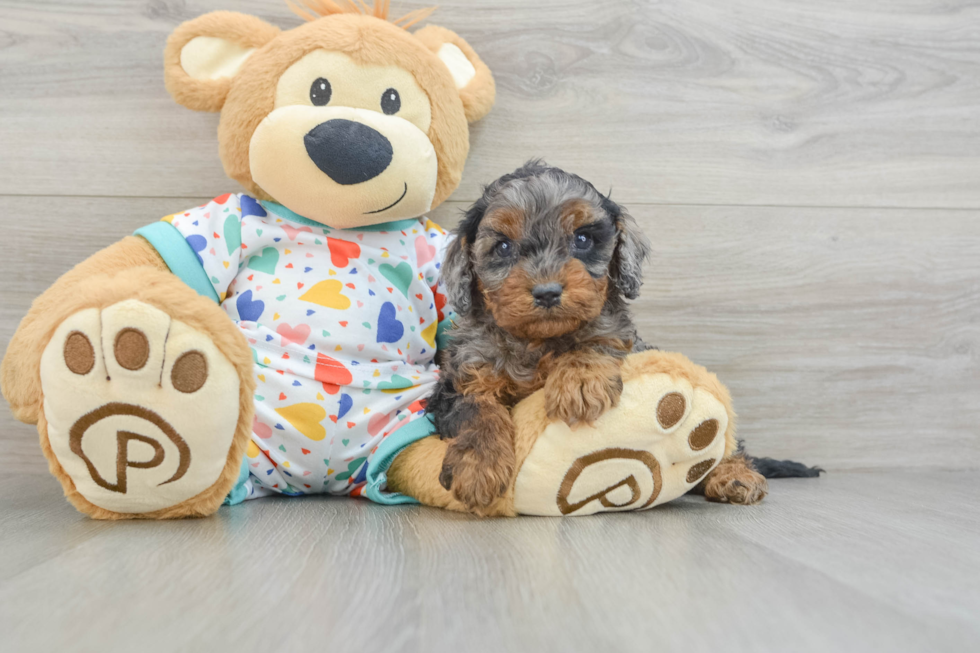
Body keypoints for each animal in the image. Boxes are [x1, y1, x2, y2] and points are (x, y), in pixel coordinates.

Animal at [432, 160, 784, 512]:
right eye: (503, 246)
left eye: (583, 238)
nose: (547, 292)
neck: (539, 342)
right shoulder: (461, 376)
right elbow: (476, 409)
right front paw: (478, 468)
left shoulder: (626, 340)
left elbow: (600, 339)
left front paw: (579, 382)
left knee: (730, 445)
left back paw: (735, 475)